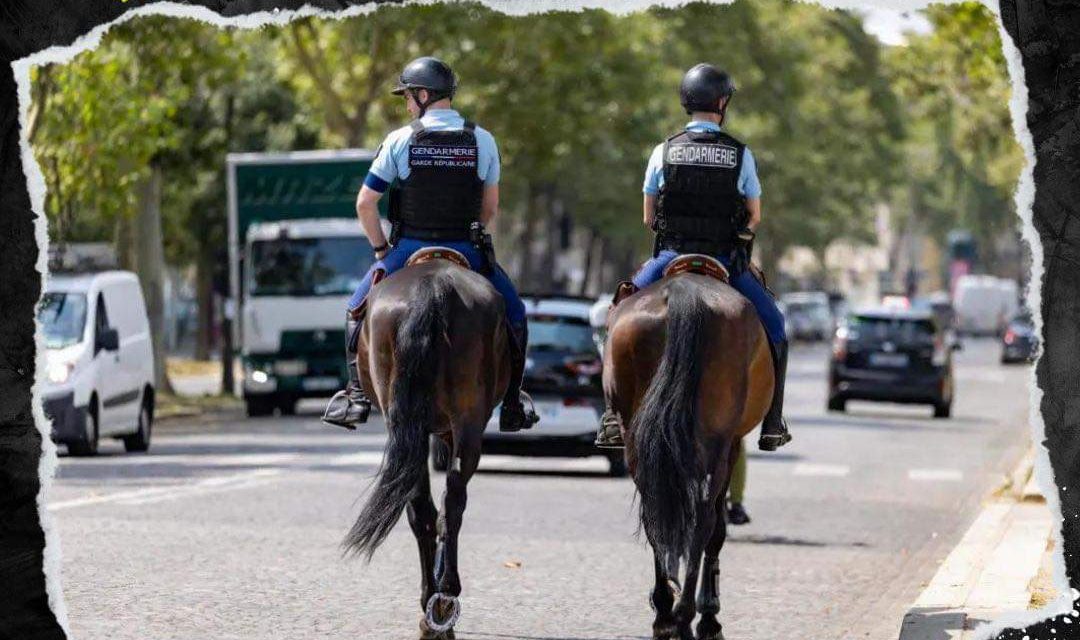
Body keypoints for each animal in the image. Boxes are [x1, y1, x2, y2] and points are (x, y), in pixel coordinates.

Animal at [345, 249, 514, 638]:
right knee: (449, 504)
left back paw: (435, 604)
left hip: (412, 426)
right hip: (464, 425)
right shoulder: (447, 431)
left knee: (425, 508)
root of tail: (432, 290)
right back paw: (443, 599)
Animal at [604, 257, 773, 638]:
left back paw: (666, 612)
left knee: (655, 510)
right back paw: (684, 616)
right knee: (704, 520)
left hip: (640, 439)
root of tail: (683, 292)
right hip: (715, 444)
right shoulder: (731, 445)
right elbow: (717, 529)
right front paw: (710, 616)